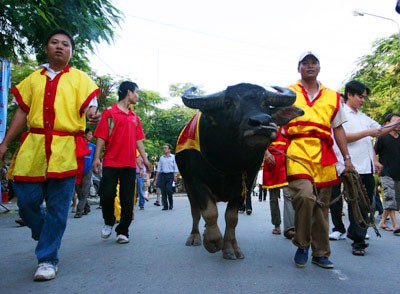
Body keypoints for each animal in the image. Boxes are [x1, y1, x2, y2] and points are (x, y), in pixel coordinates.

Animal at [175, 82, 304, 260]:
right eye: (229, 103)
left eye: (266, 103)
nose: (262, 122)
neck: (230, 162)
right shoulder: (197, 181)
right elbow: (209, 212)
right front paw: (213, 242)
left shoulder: (245, 185)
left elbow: (231, 218)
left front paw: (230, 248)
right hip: (187, 184)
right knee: (195, 210)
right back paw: (195, 237)